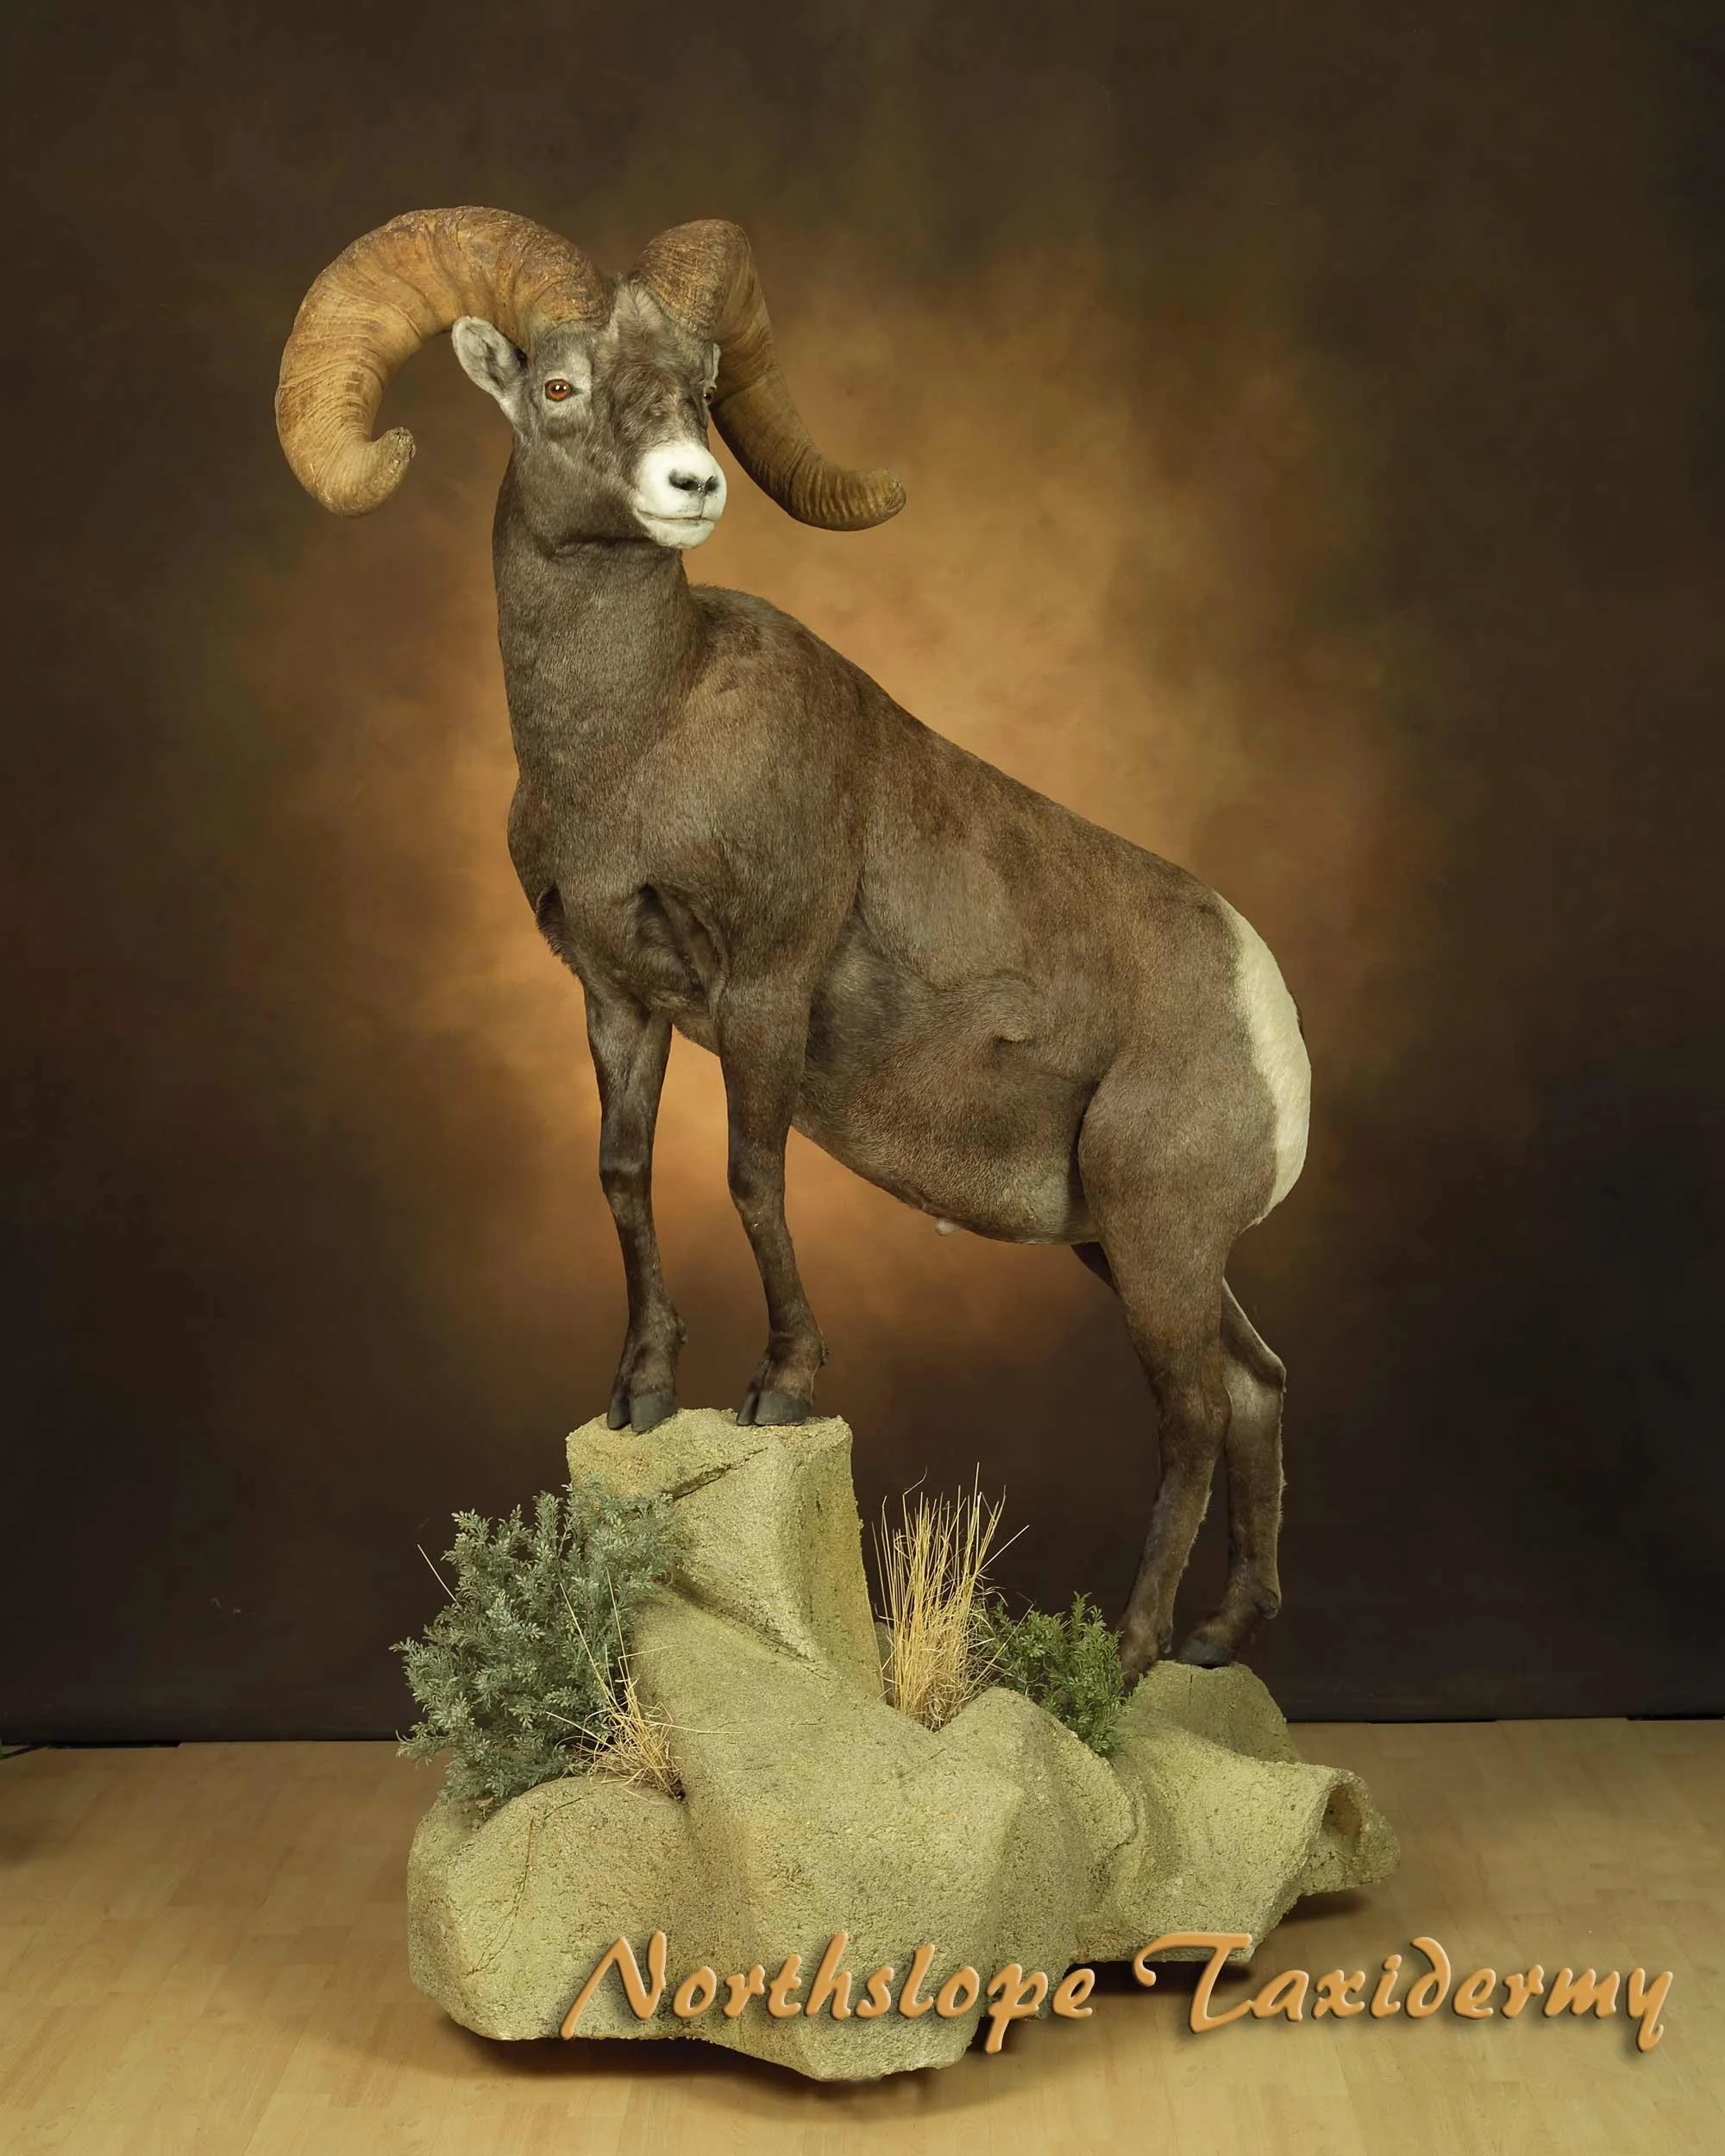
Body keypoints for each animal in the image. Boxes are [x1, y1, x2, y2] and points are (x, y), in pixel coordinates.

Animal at [275, 207, 1310, 1678]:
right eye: (560, 385)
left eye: (703, 385)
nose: (692, 483)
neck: (636, 739)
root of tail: (1273, 1026)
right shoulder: (618, 1001)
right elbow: (624, 1175)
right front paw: (644, 1391)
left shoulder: (765, 990)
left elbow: (752, 1178)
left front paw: (777, 1389)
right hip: (1128, 1244)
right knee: (1257, 1388)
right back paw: (1223, 1637)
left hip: (1156, 1241)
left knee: (1194, 1418)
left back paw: (1132, 1649)